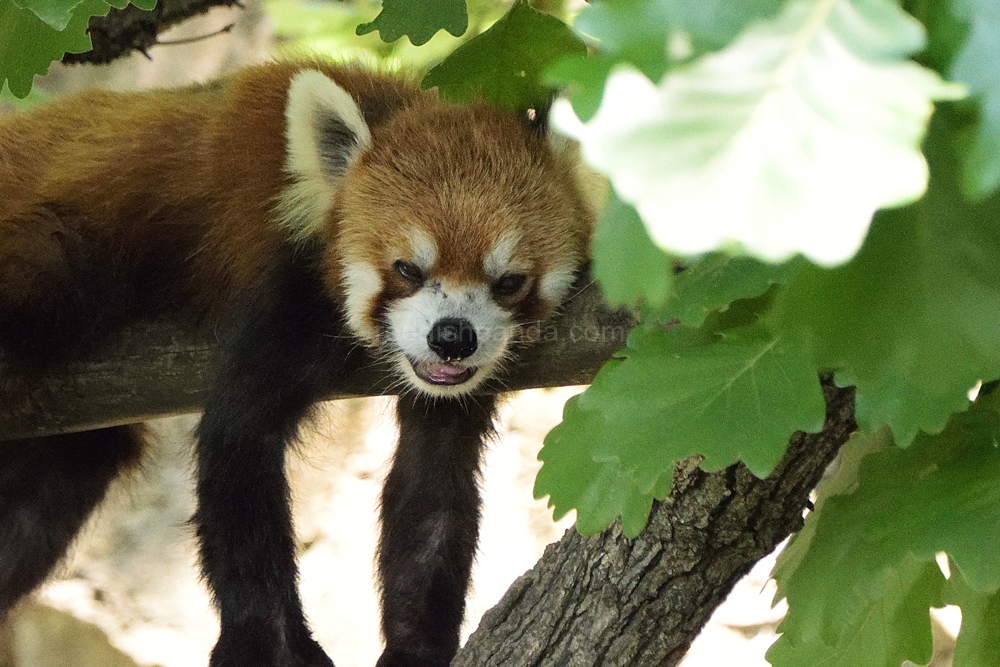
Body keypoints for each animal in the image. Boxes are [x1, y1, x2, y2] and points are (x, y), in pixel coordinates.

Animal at [0, 61, 592, 667]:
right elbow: (239, 449)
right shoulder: (285, 301)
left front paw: (416, 647)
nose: (452, 338)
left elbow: (432, 488)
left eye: (509, 282)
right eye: (407, 269)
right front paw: (271, 644)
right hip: (46, 257)